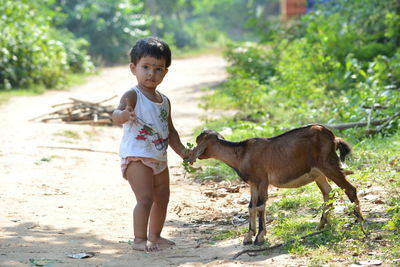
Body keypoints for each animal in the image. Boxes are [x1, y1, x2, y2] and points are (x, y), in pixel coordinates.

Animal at [189, 124, 364, 246]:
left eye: (198, 140)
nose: (191, 156)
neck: (241, 154)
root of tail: (334, 138)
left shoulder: (262, 180)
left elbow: (260, 205)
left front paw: (260, 237)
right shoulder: (253, 183)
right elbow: (251, 207)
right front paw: (248, 237)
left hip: (329, 165)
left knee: (350, 189)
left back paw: (359, 221)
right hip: (318, 172)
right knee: (328, 192)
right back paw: (321, 225)